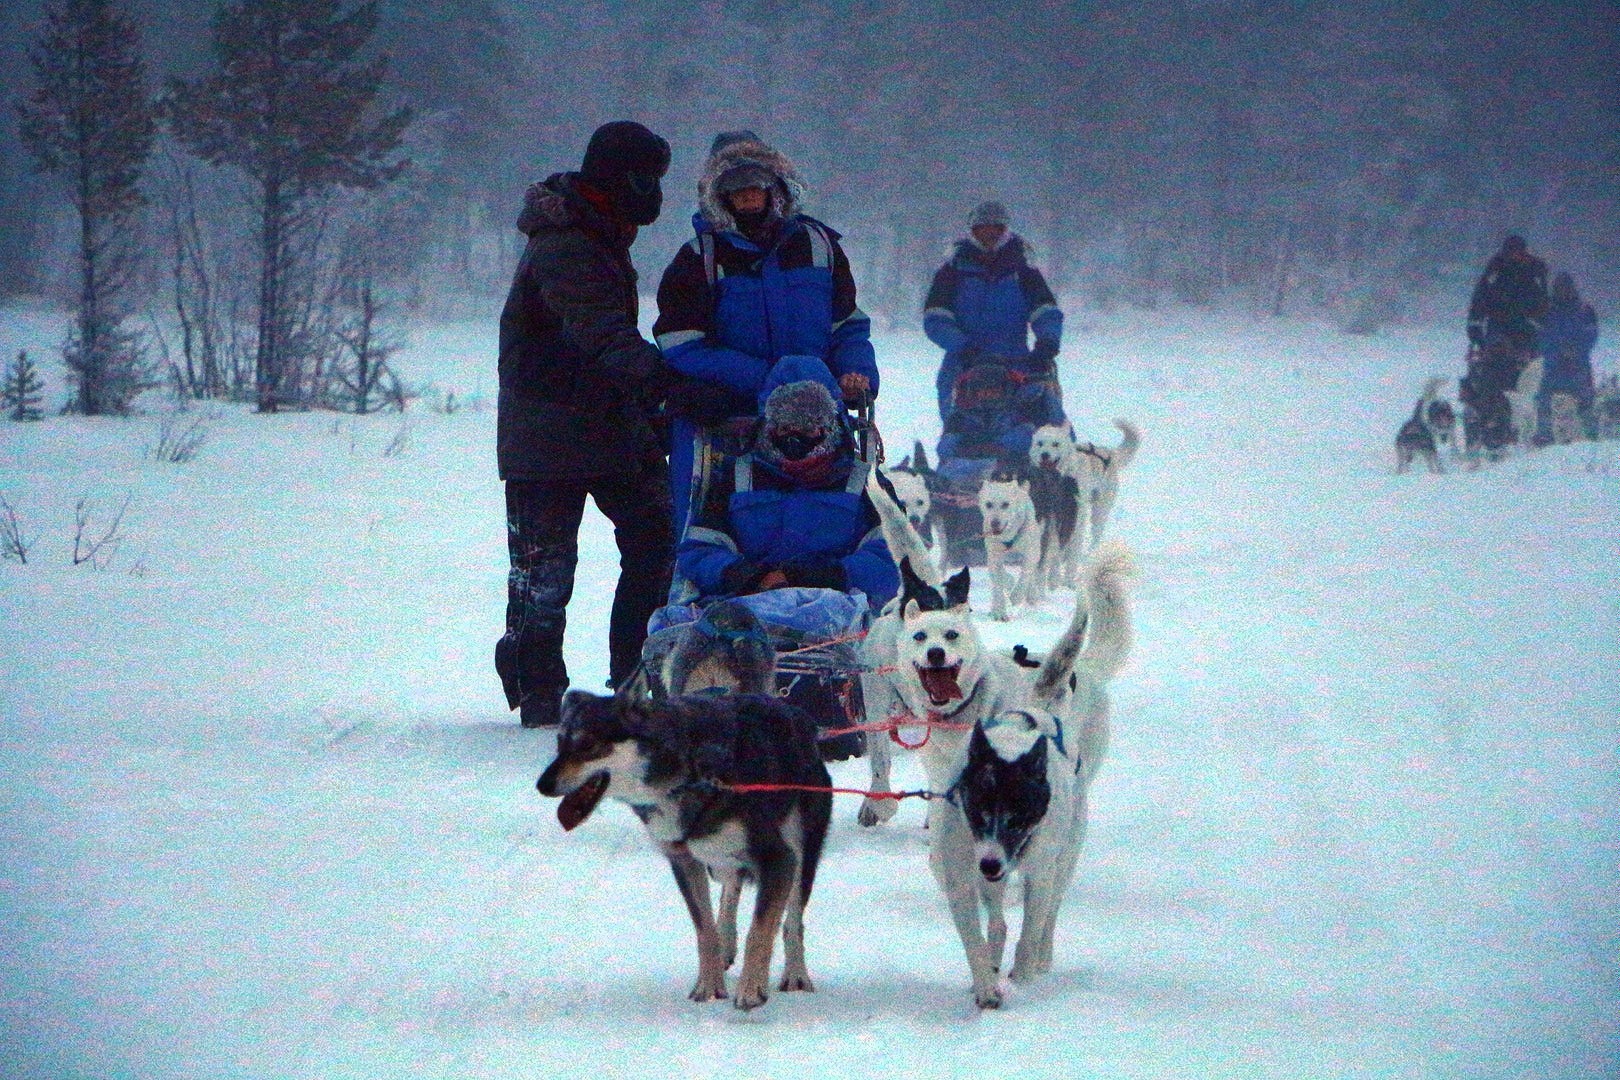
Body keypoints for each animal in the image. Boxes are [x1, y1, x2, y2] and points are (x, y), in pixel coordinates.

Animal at [537, 693, 829, 1016]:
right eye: (560, 743)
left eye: (587, 744)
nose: (543, 785)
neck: (687, 775)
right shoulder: (684, 862)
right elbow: (704, 929)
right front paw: (709, 987)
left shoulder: (778, 858)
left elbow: (760, 930)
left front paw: (751, 989)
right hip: (718, 860)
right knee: (730, 890)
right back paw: (726, 941)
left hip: (800, 853)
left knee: (792, 920)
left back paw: (795, 974)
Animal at [933, 544, 1134, 1010]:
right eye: (978, 810)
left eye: (1018, 816)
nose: (990, 863)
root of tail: (1038, 706)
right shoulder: (961, 873)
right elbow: (975, 938)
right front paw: (985, 984)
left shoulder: (1038, 872)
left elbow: (1032, 927)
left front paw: (1022, 976)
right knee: (998, 921)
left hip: (1066, 854)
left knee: (1048, 915)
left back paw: (1040, 961)